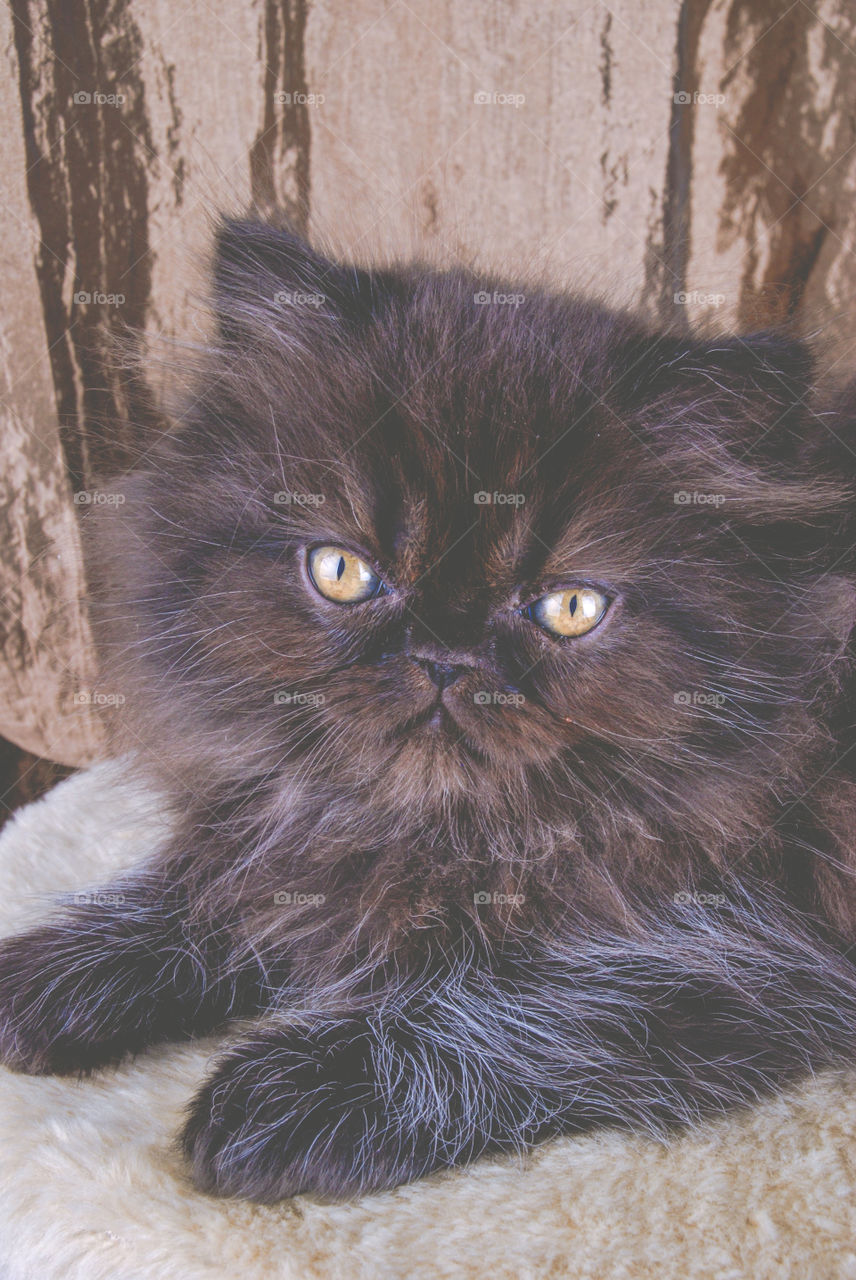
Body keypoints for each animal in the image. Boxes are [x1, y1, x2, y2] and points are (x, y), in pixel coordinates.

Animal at [1, 215, 854, 1203]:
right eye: (342, 571)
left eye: (570, 607)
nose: (445, 660)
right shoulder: (288, 843)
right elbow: (199, 894)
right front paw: (59, 973)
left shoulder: (750, 955)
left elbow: (520, 1009)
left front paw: (291, 1089)